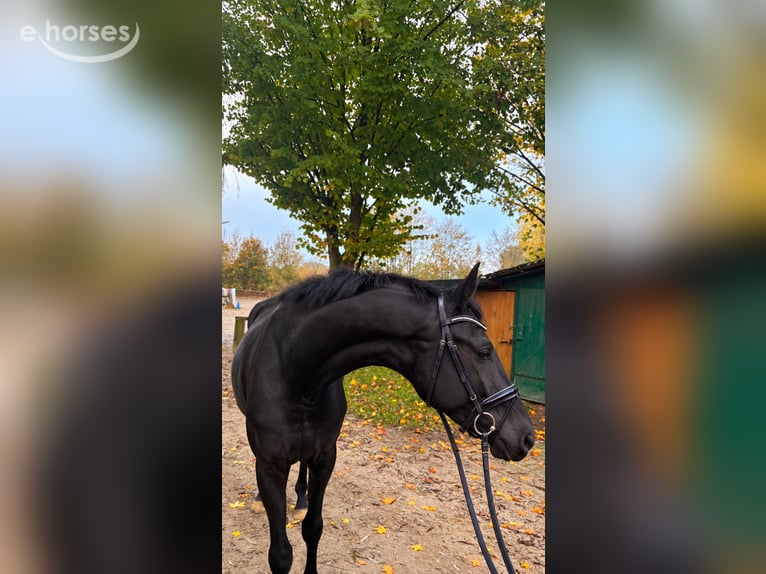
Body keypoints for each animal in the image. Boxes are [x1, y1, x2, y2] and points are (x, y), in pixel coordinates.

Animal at [231, 264, 535, 573]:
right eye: (484, 351)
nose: (527, 436)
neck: (296, 372)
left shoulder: (325, 458)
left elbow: (312, 528)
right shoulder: (271, 465)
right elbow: (280, 554)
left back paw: (301, 499)